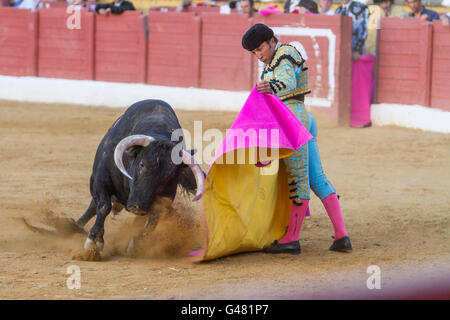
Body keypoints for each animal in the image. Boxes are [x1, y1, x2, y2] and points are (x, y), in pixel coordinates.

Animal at [76, 99, 206, 251]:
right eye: (142, 164)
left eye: (170, 176)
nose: (138, 207)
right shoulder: (100, 179)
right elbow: (103, 206)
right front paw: (94, 241)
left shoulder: (165, 198)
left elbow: (153, 220)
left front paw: (135, 244)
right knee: (94, 206)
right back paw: (73, 226)